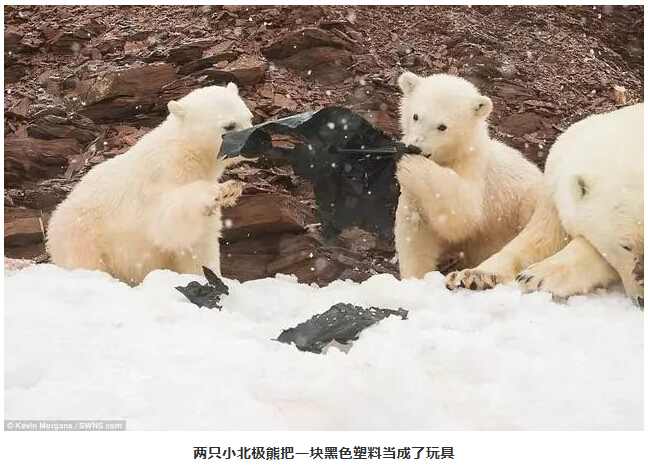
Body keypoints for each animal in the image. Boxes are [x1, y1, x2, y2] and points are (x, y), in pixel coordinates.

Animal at [46, 83, 253, 286]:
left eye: (249, 117)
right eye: (229, 125)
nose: (255, 141)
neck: (186, 155)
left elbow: (200, 243)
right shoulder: (159, 180)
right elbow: (170, 219)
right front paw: (224, 190)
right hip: (83, 236)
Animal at [394, 72, 542, 279]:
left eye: (442, 126)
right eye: (416, 116)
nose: (414, 147)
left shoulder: (474, 169)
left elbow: (464, 213)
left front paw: (412, 165)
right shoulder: (414, 195)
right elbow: (415, 230)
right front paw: (415, 277)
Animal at [445, 103, 644, 307]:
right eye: (625, 246)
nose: (642, 299)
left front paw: (537, 277)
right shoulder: (554, 184)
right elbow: (541, 238)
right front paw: (472, 276)